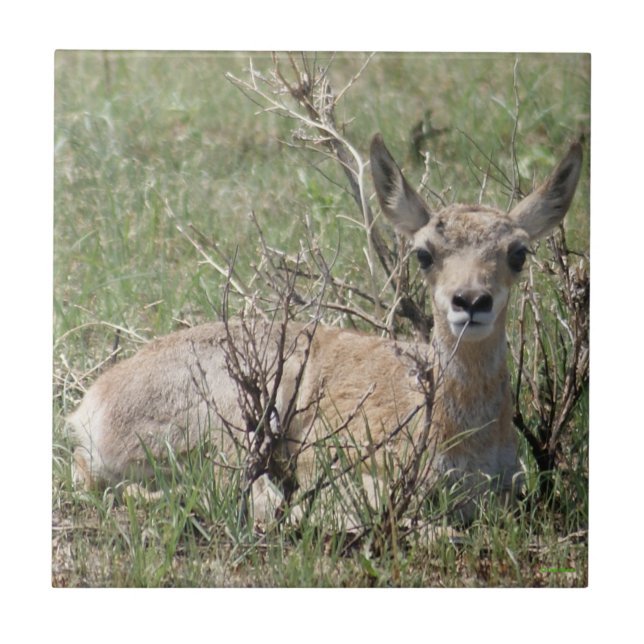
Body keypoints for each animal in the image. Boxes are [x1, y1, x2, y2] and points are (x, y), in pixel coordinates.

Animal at [68, 134, 583, 522]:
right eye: (424, 252)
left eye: (518, 252)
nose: (471, 301)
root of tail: (90, 406)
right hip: (237, 417)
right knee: (246, 494)